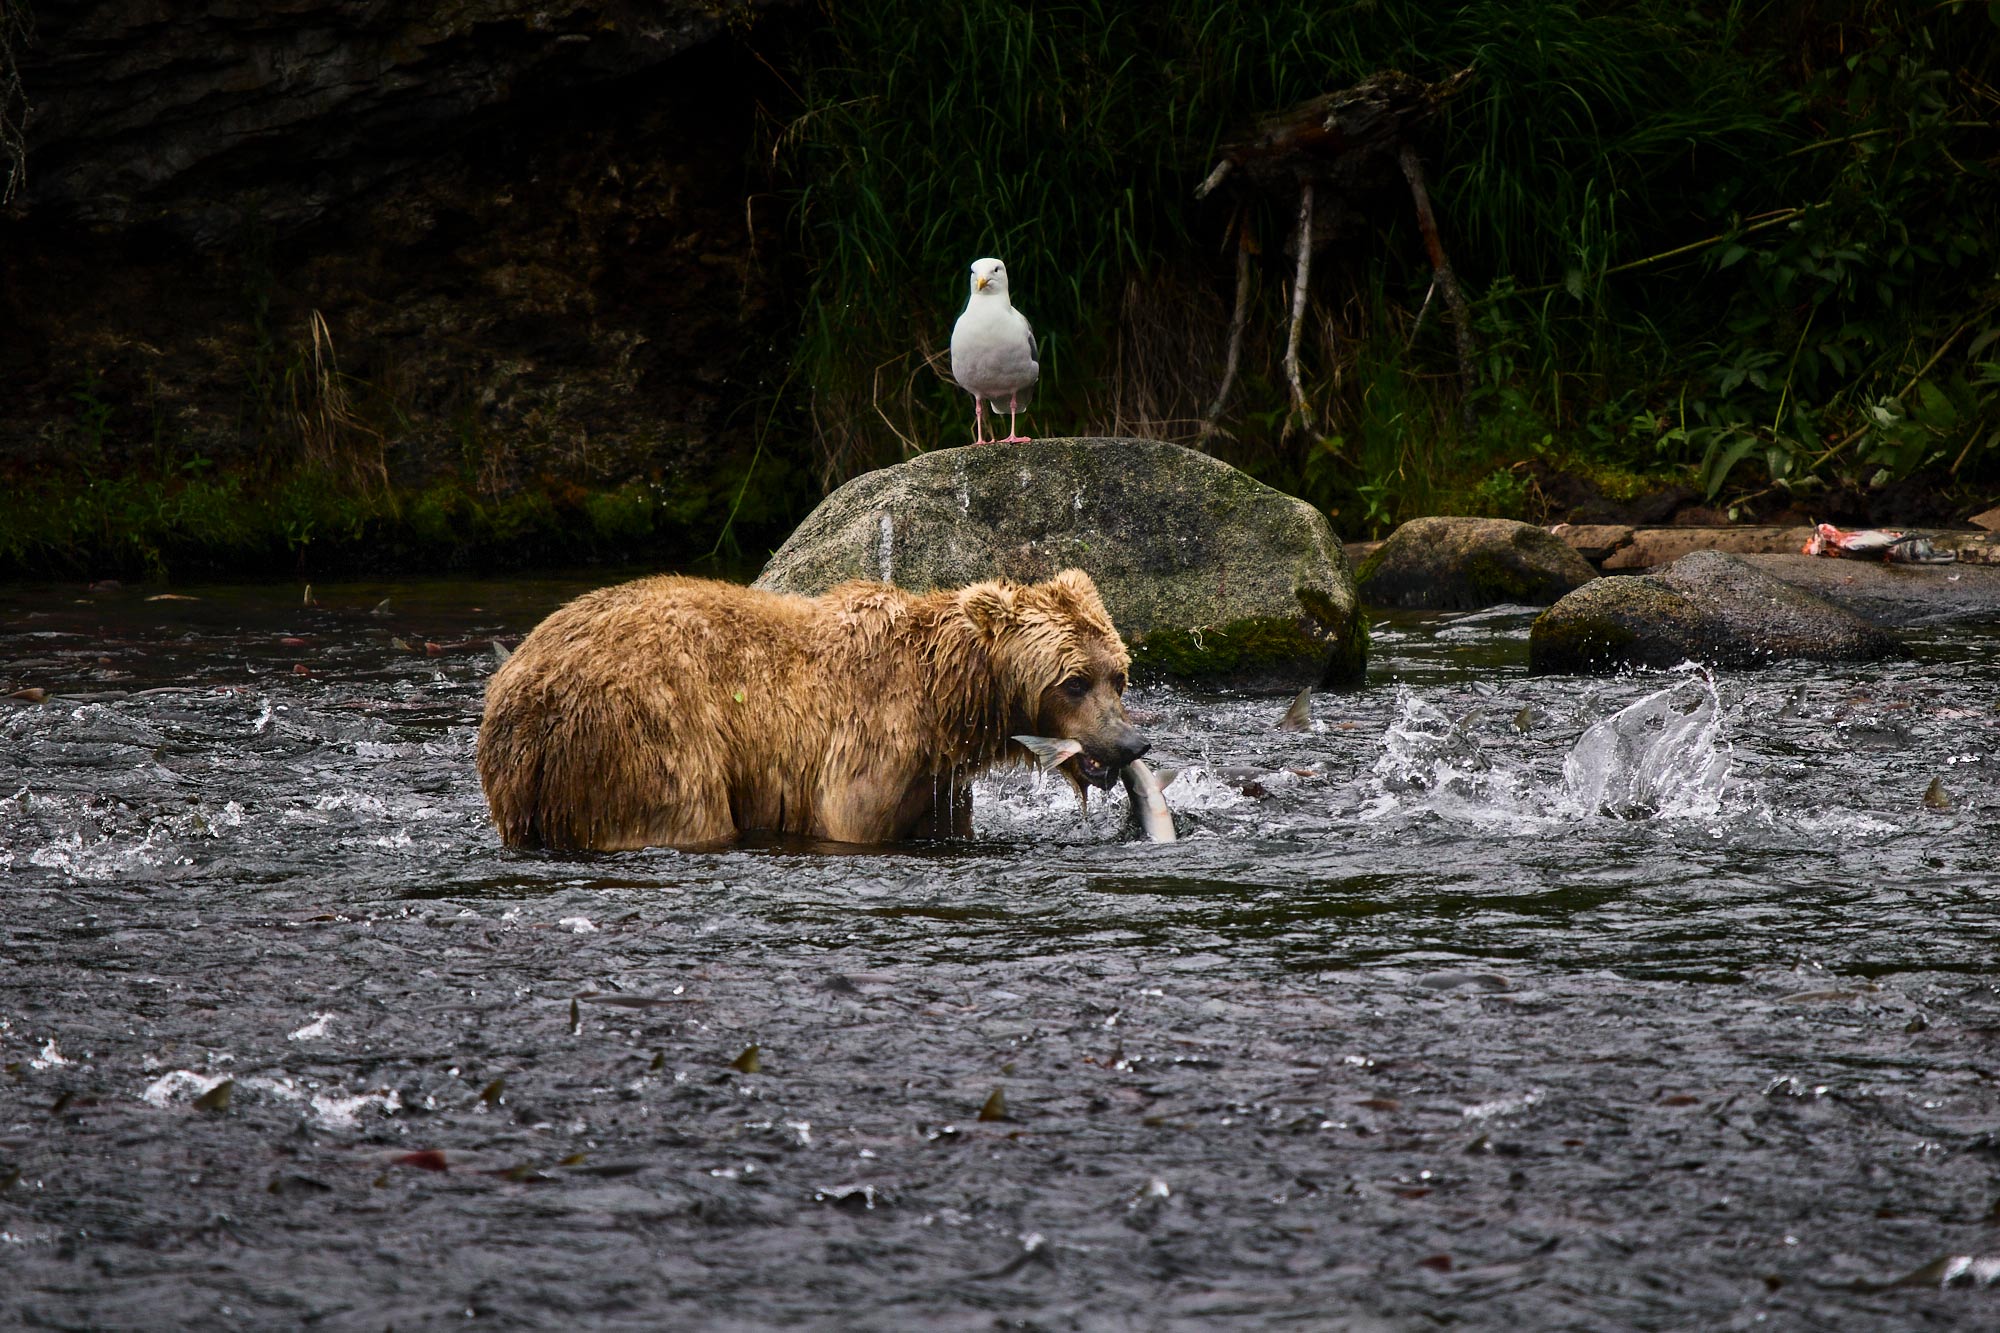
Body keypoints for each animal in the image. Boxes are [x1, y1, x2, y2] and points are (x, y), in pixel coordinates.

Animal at [476, 568, 1148, 850]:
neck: (945, 703)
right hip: (646, 734)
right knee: (681, 812)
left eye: (1118, 675)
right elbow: (851, 820)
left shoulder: (936, 781)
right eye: (1073, 682)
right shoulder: (871, 750)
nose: (1132, 744)